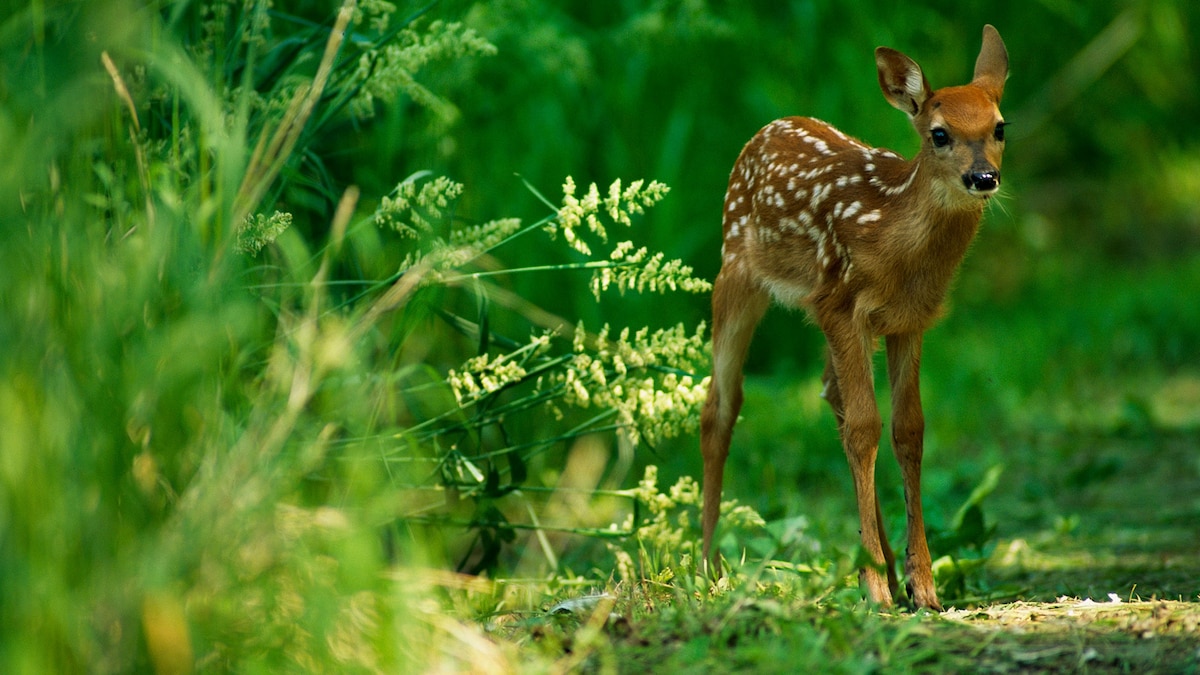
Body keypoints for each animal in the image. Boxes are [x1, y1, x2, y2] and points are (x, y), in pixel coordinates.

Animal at [699, 25, 1008, 610]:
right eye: (939, 134)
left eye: (1000, 127)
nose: (983, 177)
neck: (890, 232)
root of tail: (767, 128)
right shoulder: (841, 303)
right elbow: (866, 428)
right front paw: (877, 590)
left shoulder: (908, 321)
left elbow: (908, 428)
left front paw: (922, 585)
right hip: (735, 274)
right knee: (720, 406)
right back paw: (708, 569)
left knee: (830, 393)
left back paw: (881, 561)